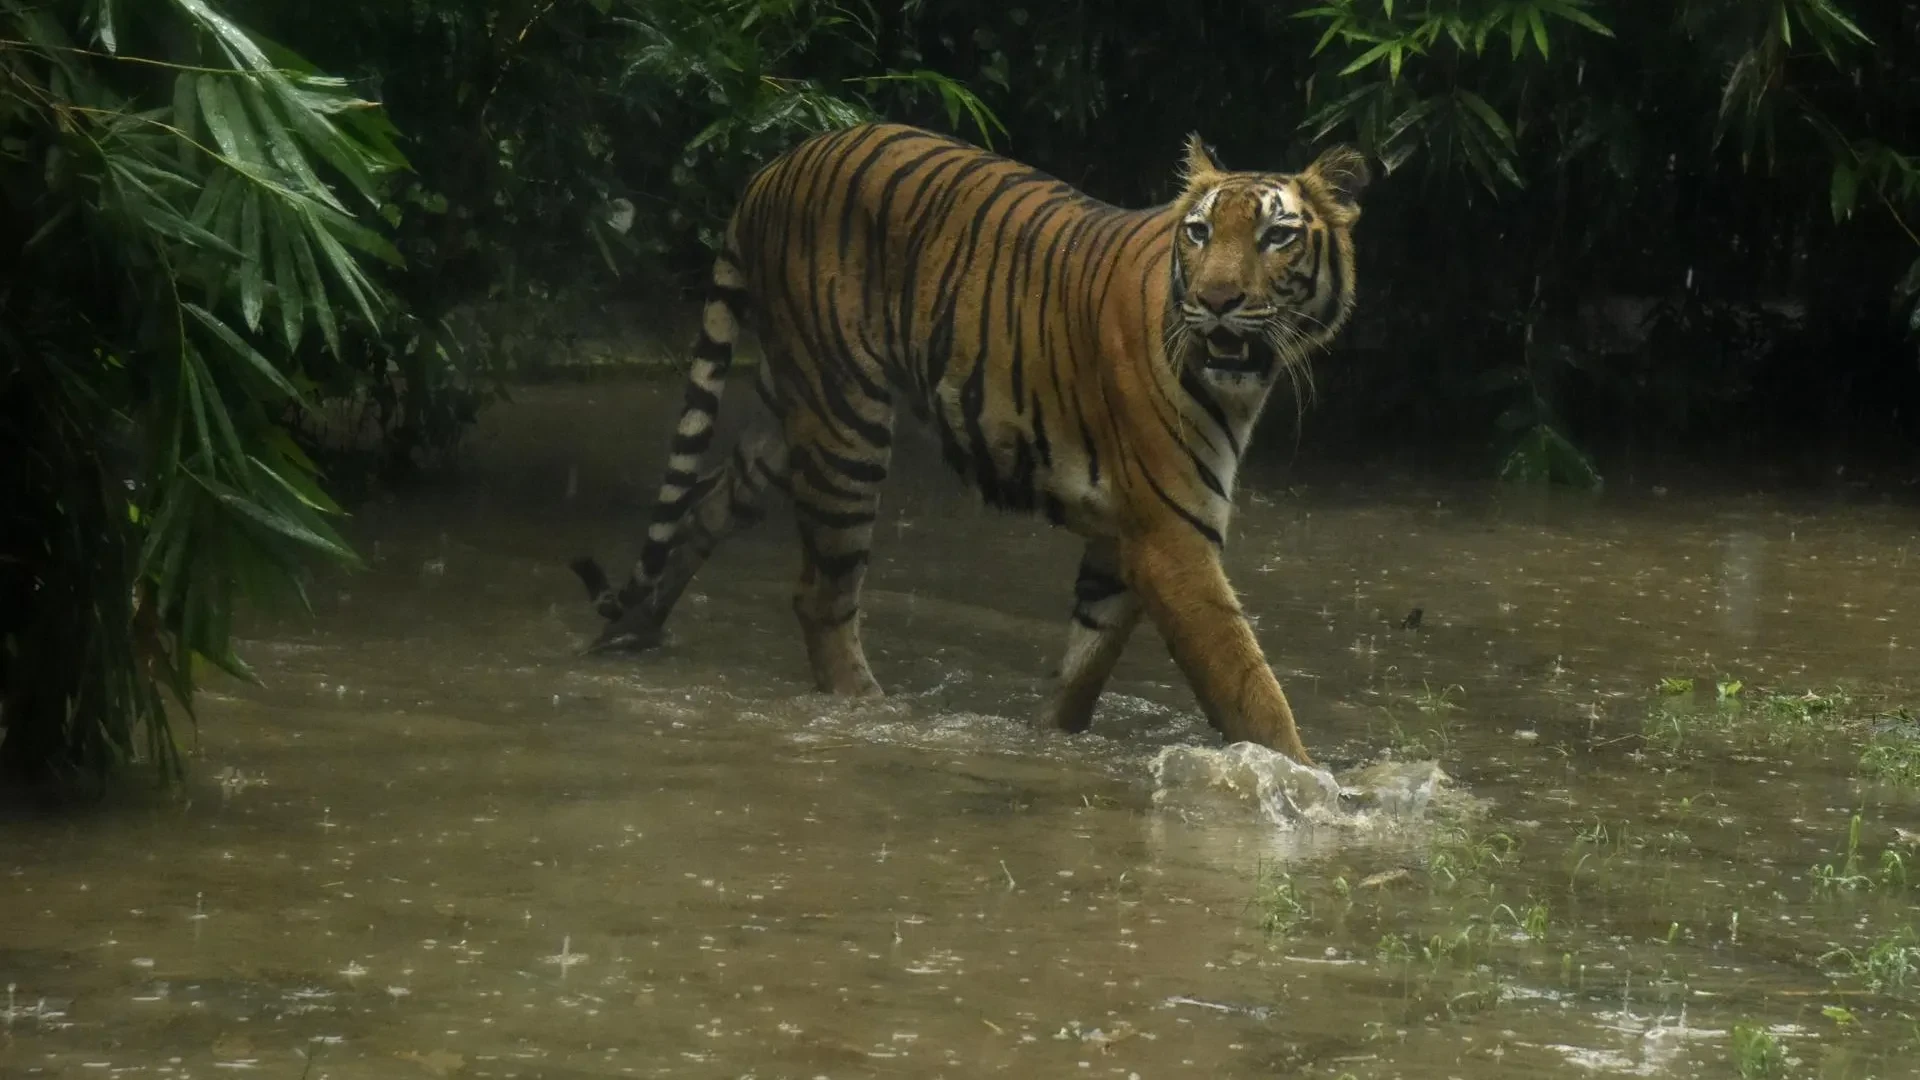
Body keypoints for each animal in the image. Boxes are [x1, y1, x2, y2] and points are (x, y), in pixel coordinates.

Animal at [569, 122, 1369, 765]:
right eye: (1200, 232)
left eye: (1276, 235)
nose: (1216, 302)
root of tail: (773, 168)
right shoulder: (1170, 538)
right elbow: (1248, 690)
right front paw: (1317, 789)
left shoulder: (1122, 540)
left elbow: (1082, 667)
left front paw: (1046, 740)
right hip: (846, 418)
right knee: (820, 596)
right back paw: (874, 713)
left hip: (786, 407)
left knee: (702, 505)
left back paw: (631, 636)